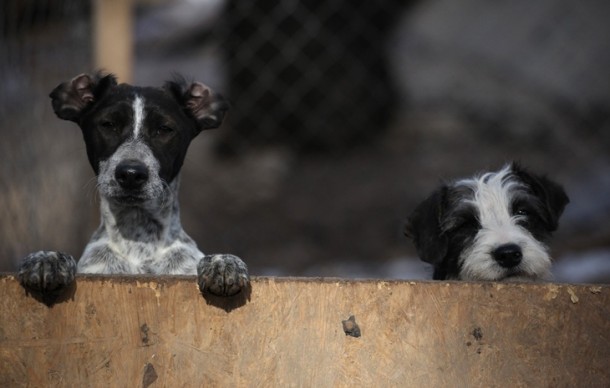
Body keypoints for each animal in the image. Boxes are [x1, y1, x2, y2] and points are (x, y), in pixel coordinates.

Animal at [19, 72, 247, 298]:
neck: (137, 239)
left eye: (164, 129)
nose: (130, 174)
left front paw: (222, 263)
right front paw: (47, 259)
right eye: (108, 125)